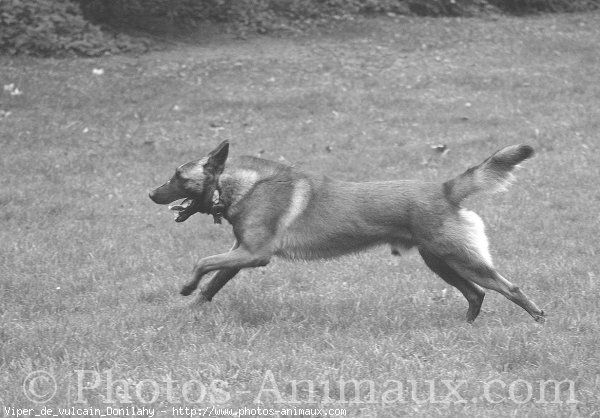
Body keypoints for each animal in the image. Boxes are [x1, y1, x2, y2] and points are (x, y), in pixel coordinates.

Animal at [149, 141, 544, 324]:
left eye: (178, 177)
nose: (151, 194)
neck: (240, 186)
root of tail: (445, 189)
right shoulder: (240, 254)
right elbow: (212, 284)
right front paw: (185, 311)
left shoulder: (253, 255)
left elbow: (202, 262)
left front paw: (185, 287)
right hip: (440, 262)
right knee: (476, 294)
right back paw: (464, 328)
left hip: (457, 257)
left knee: (509, 288)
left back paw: (540, 322)